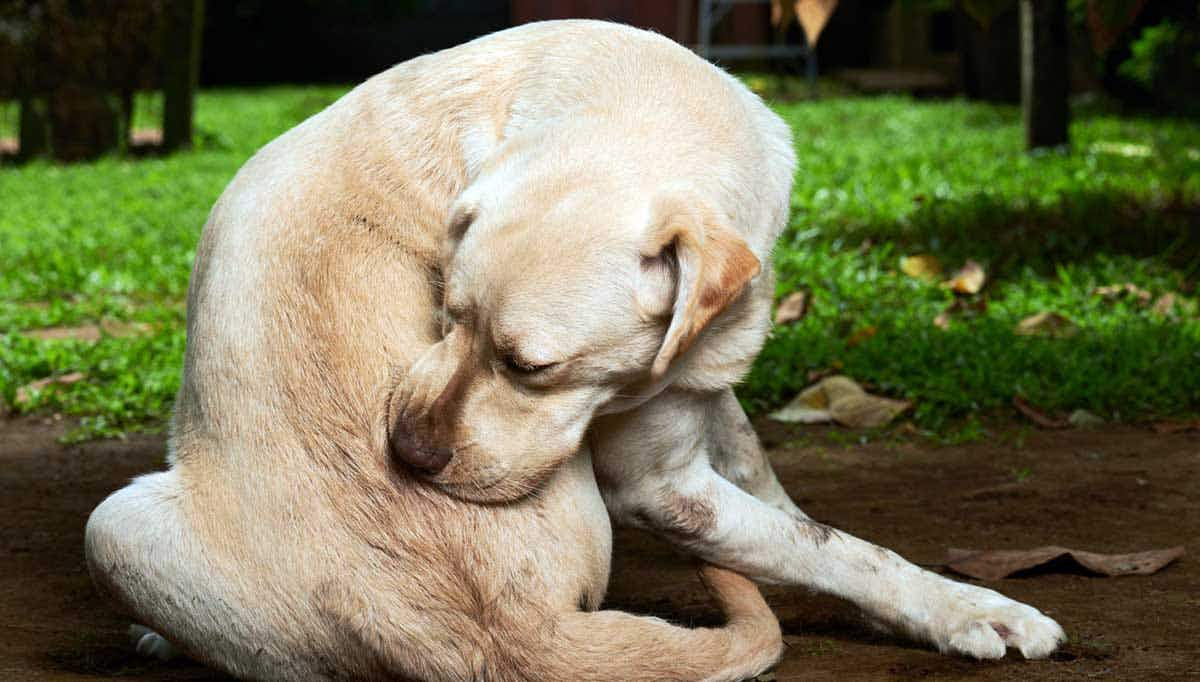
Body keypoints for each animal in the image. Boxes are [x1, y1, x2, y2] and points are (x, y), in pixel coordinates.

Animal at [87, 18, 1060, 677]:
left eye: (533, 367)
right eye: (445, 312)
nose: (404, 453)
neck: (636, 98)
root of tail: (509, 639)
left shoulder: (699, 395)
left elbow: (786, 504)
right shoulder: (661, 488)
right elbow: (836, 545)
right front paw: (967, 607)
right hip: (111, 526)